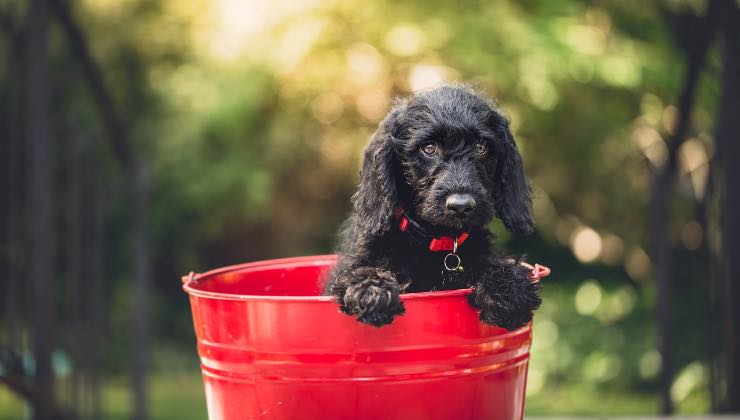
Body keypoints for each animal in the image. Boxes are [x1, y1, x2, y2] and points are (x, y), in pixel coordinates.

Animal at [326, 83, 540, 330]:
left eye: (481, 147)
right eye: (428, 148)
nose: (461, 206)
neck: (435, 240)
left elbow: (492, 263)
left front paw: (508, 288)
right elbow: (358, 272)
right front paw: (371, 290)